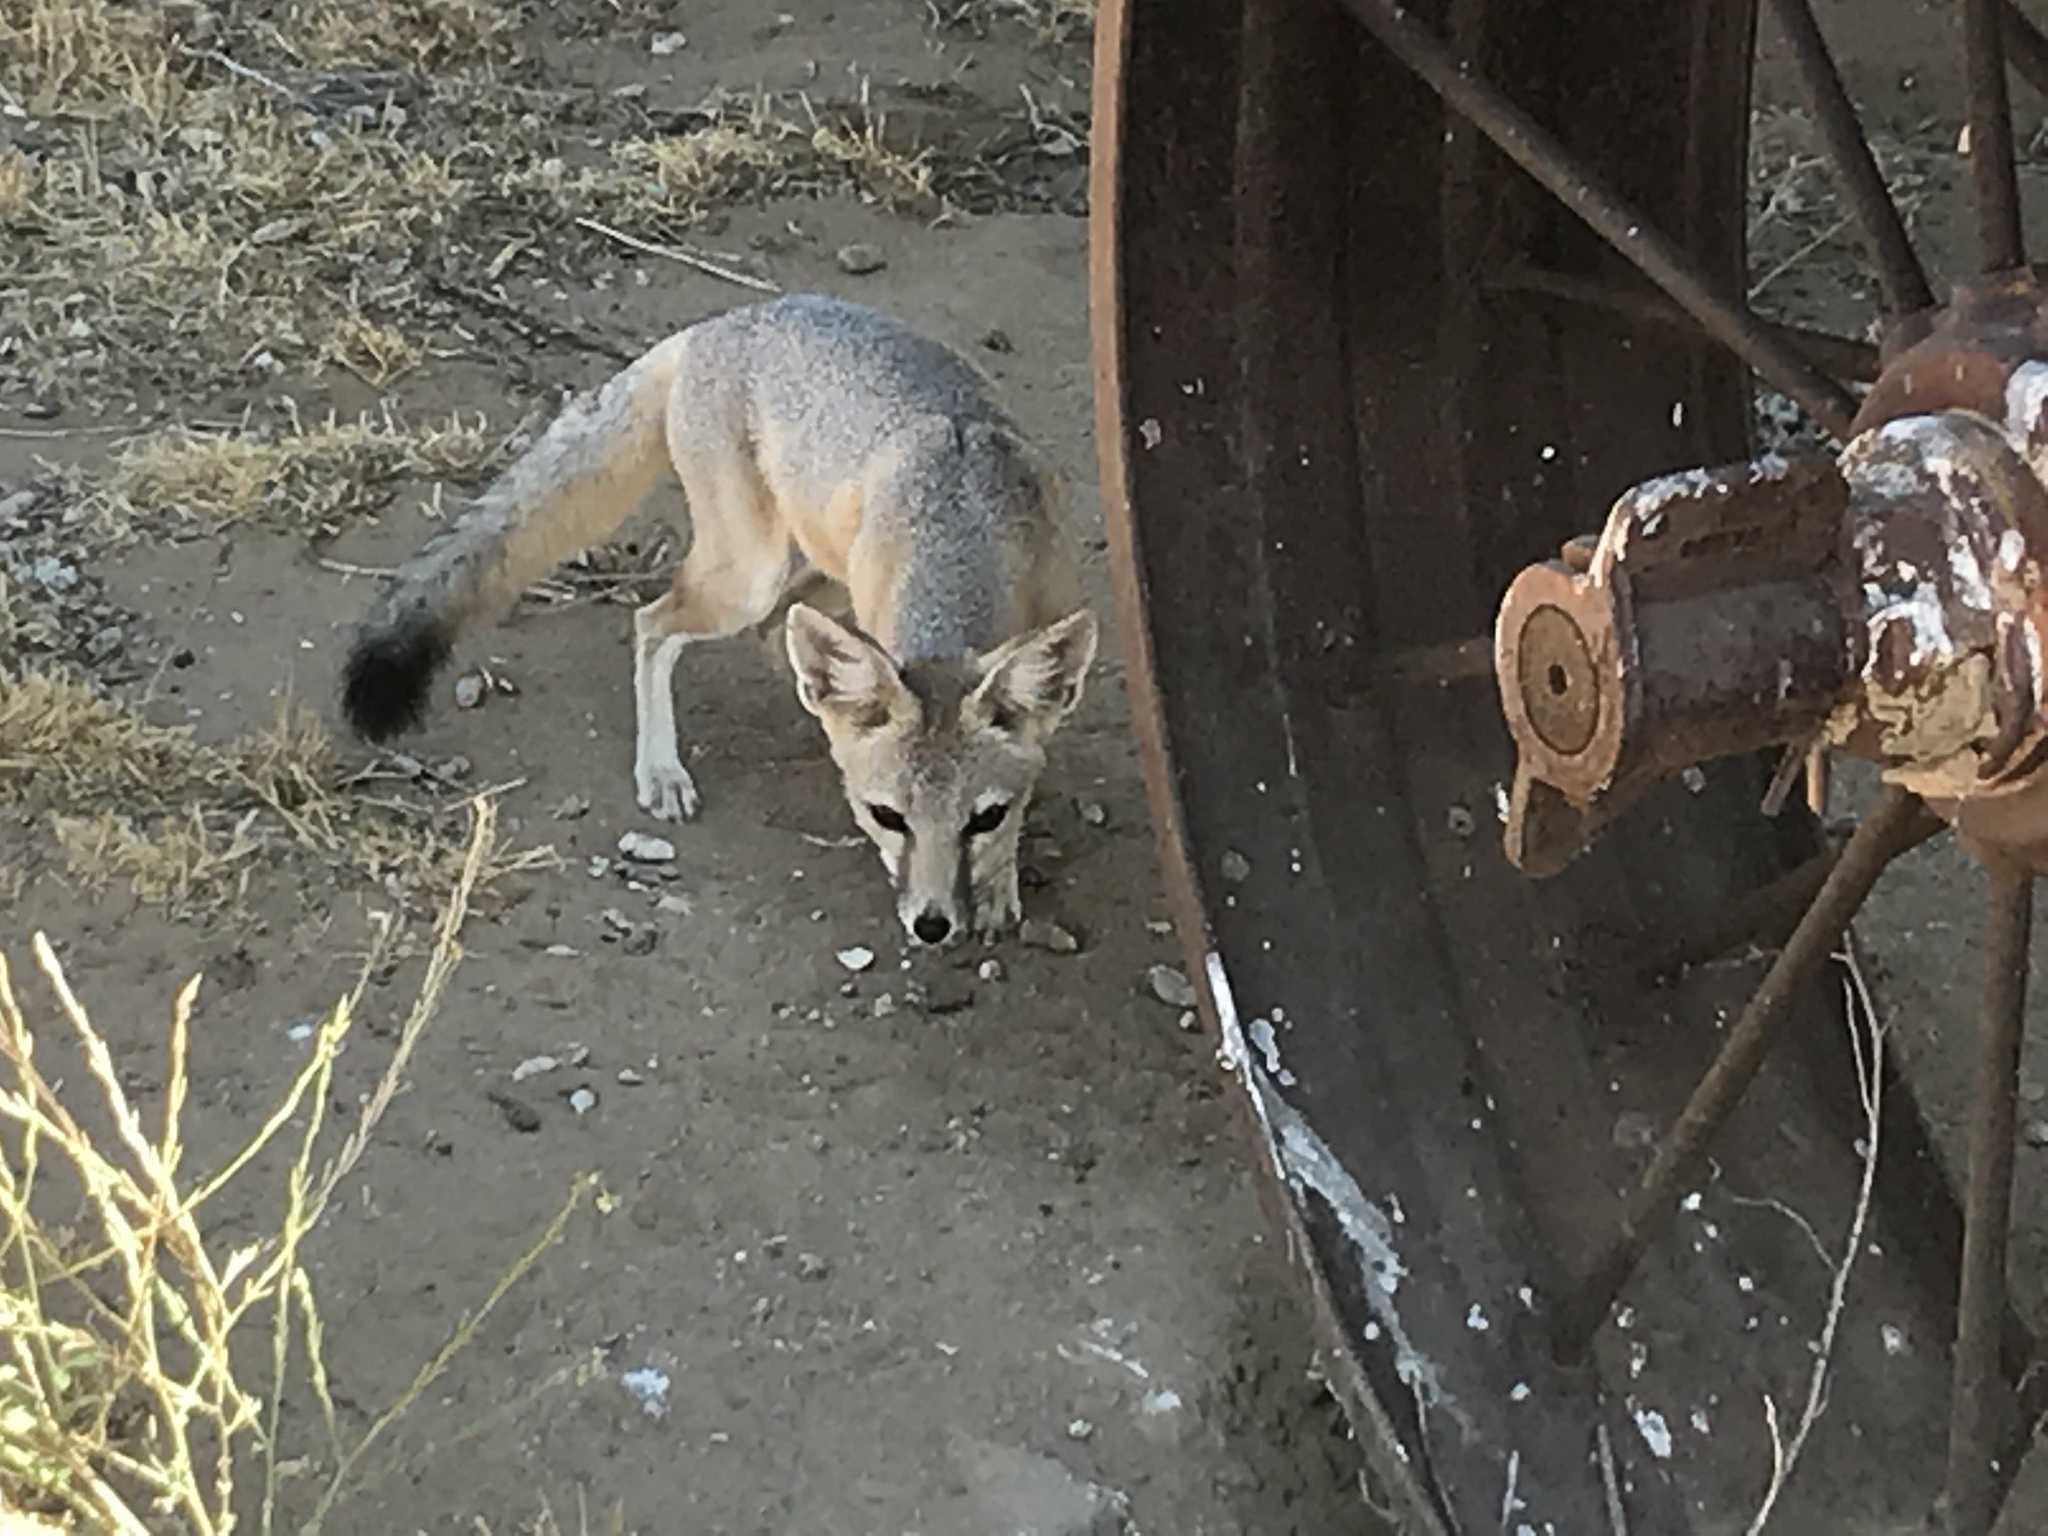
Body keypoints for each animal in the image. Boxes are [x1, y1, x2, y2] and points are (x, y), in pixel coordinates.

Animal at [337, 293, 1099, 947]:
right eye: (887, 817)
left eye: (984, 818)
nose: (933, 925)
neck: (966, 527)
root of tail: (717, 325)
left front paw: (997, 885)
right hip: (748, 576)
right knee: (654, 623)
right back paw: (662, 767)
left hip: (812, 569)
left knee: (773, 637)